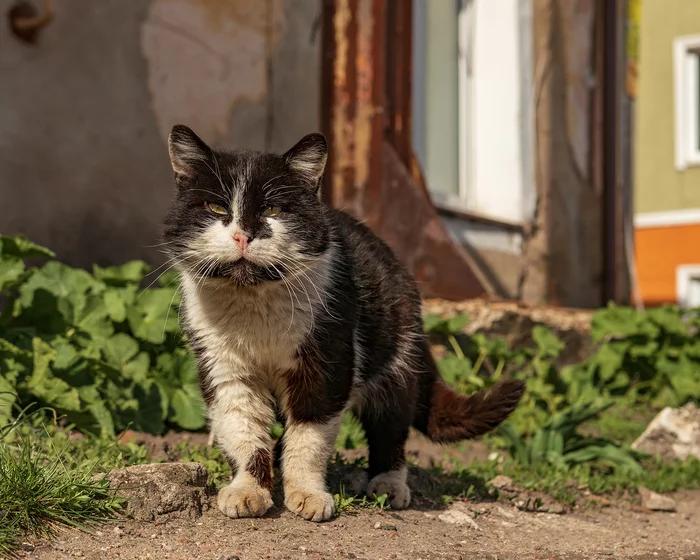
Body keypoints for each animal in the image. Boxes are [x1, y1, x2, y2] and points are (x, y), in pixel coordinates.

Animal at [163, 124, 524, 524]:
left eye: (273, 209)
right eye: (215, 207)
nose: (243, 235)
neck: (255, 308)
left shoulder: (329, 360)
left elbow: (310, 436)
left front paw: (308, 494)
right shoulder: (224, 368)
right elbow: (242, 430)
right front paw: (248, 490)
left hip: (397, 361)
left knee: (390, 428)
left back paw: (388, 484)